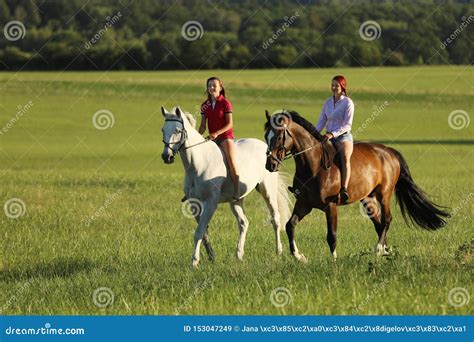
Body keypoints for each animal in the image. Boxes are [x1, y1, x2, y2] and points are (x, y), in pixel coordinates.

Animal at [161, 107, 290, 268]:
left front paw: (194, 262)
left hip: (267, 191)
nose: (166, 156)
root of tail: (267, 149)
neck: (198, 164)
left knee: (275, 219)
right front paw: (211, 256)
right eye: (162, 130)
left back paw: (278, 252)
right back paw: (239, 255)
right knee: (244, 223)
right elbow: (203, 232)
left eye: (178, 131)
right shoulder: (194, 204)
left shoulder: (210, 203)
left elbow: (199, 232)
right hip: (236, 200)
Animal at [264, 109, 450, 262]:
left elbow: (331, 235)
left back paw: (378, 249)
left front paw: (334, 260)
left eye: (279, 136)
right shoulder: (304, 204)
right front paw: (299, 256)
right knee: (378, 222)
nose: (270, 165)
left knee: (387, 219)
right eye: (266, 136)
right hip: (368, 198)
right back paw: (385, 251)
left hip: (384, 194)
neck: (314, 166)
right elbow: (290, 225)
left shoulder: (330, 206)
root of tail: (389, 151)